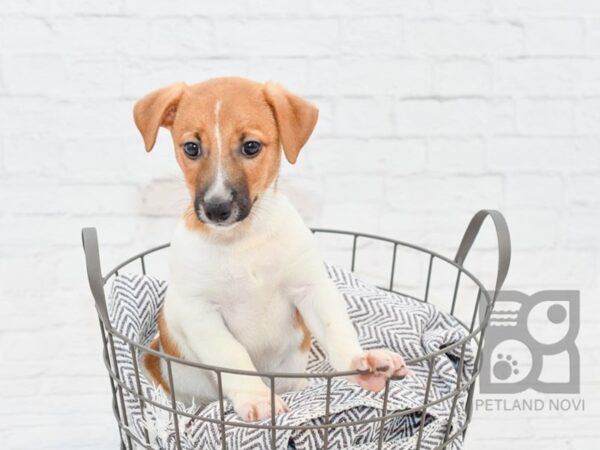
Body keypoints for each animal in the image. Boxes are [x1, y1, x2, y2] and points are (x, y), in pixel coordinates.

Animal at [134, 77, 410, 422]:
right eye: (192, 148)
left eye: (251, 146)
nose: (216, 209)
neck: (243, 240)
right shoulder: (200, 312)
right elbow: (232, 355)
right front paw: (257, 397)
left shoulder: (311, 289)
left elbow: (336, 329)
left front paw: (361, 364)